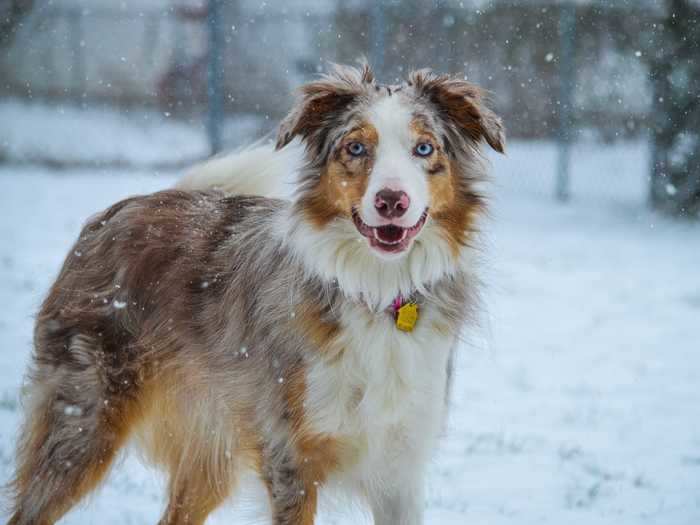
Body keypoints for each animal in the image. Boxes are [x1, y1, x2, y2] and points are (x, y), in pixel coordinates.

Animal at [8, 63, 506, 520]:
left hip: (209, 449)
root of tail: (118, 212)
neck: (375, 291)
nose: (391, 201)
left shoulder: (399, 463)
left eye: (424, 148)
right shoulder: (291, 458)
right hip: (83, 420)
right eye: (356, 147)